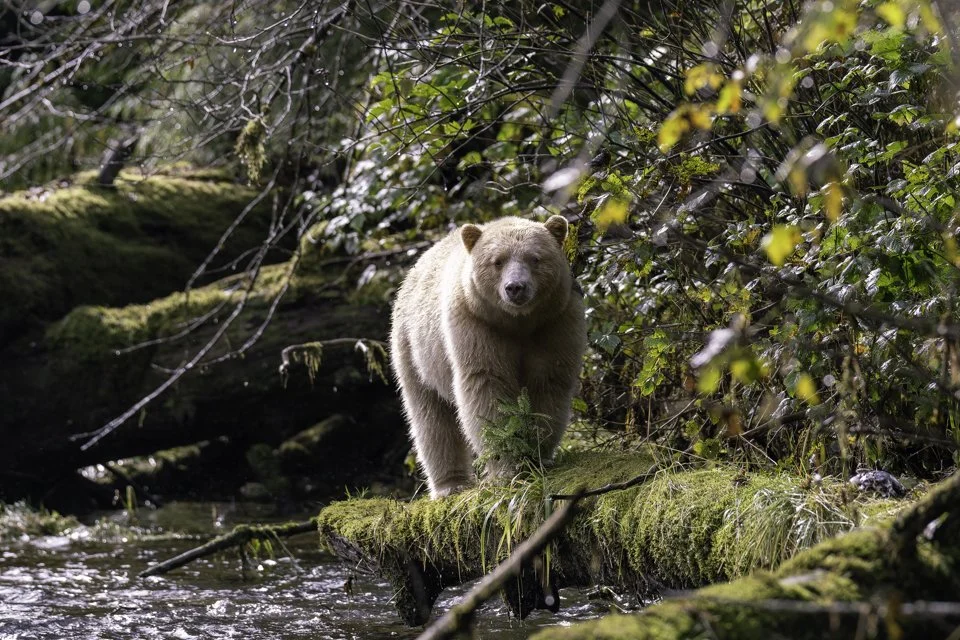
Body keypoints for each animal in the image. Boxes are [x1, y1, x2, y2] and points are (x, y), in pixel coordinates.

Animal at [390, 215, 587, 498]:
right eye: (497, 261)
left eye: (535, 258)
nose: (515, 287)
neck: (518, 322)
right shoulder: (476, 325)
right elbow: (486, 386)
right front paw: (508, 465)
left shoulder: (555, 322)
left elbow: (548, 384)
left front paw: (537, 454)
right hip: (415, 350)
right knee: (430, 417)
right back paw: (450, 484)